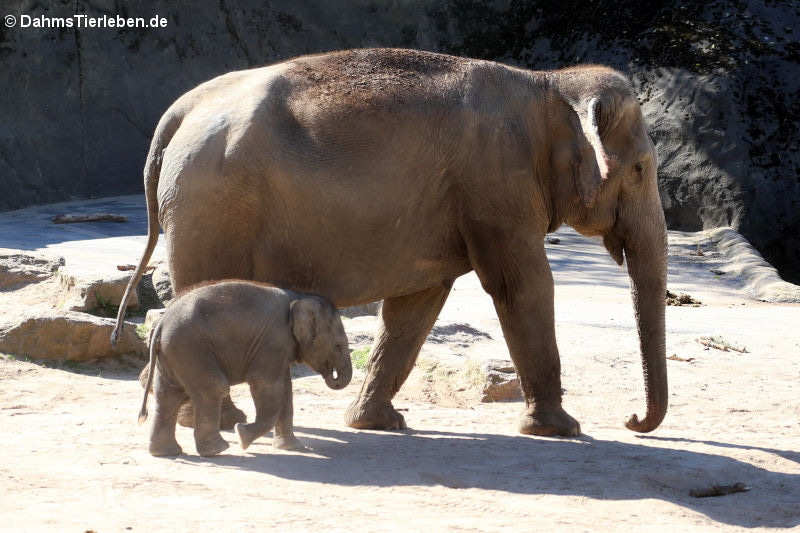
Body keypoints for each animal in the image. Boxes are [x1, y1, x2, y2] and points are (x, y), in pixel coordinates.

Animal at [111, 47, 668, 436]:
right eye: (641, 169)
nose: (632, 420)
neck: (548, 83)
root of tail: (182, 110)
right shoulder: (496, 184)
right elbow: (522, 285)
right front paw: (562, 429)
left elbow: (416, 305)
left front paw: (378, 423)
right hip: (213, 206)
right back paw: (216, 419)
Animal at [139, 278, 352, 458]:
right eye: (338, 346)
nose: (331, 375)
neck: (299, 296)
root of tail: (161, 323)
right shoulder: (272, 341)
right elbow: (267, 387)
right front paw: (241, 434)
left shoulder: (279, 349)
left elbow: (286, 391)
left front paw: (294, 448)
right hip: (191, 349)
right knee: (214, 388)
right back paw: (218, 450)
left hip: (173, 354)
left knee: (168, 395)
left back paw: (166, 453)